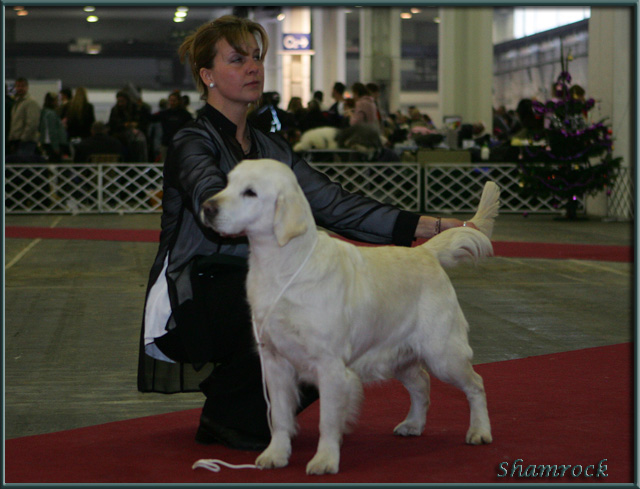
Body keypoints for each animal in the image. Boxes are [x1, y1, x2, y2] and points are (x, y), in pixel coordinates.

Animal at [202, 159, 498, 472]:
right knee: (421, 382)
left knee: (475, 384)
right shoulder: (274, 361)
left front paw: (325, 459)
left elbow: (328, 420)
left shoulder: (329, 365)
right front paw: (276, 454)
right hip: (398, 354)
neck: (283, 267)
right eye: (227, 184)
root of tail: (425, 253)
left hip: (443, 353)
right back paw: (413, 424)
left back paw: (479, 431)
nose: (207, 207)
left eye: (250, 192)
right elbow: (280, 416)